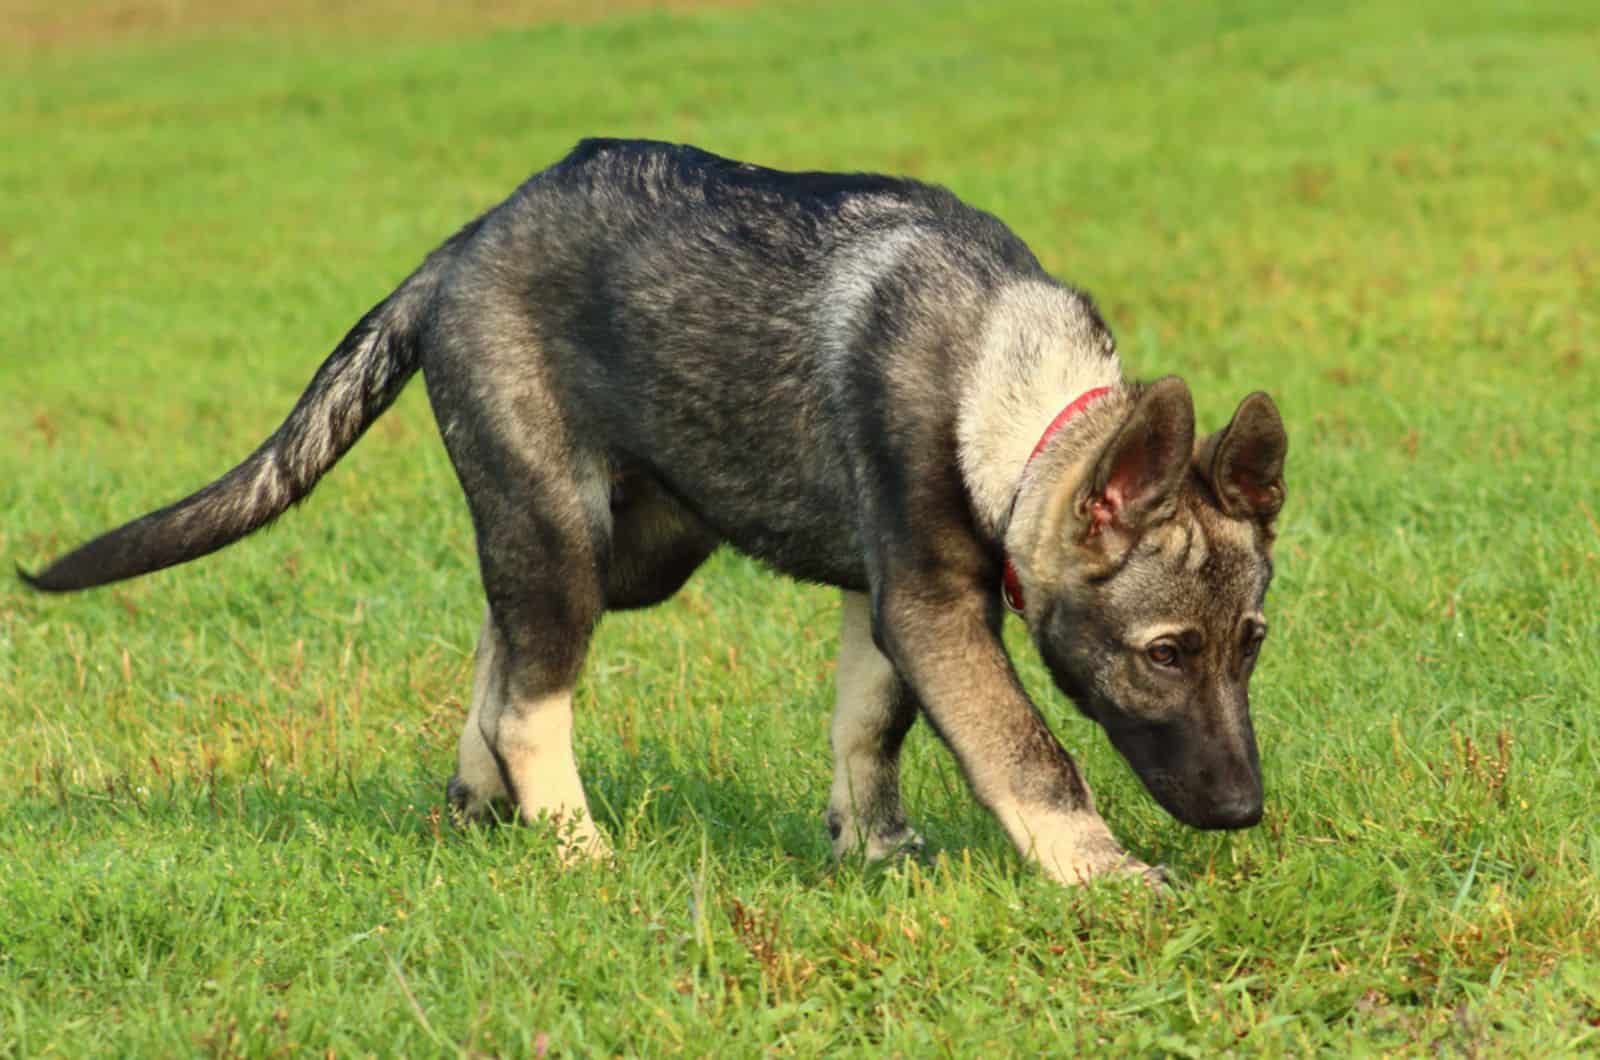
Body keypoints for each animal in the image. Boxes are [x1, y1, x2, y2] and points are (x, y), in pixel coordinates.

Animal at [18, 140, 1280, 890]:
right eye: (1165, 653)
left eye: (1251, 646)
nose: (1242, 811)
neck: (1009, 399)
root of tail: (461, 245)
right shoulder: (930, 602)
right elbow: (1028, 752)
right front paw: (1105, 876)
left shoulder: (883, 600)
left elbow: (867, 729)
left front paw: (873, 847)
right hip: (567, 527)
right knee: (531, 693)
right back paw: (577, 846)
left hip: (633, 547)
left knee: (502, 642)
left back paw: (483, 802)